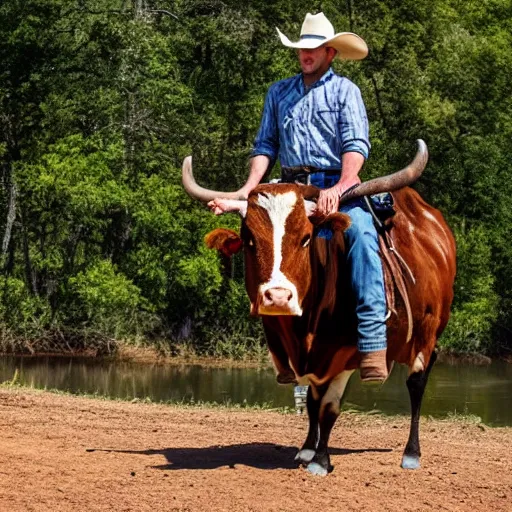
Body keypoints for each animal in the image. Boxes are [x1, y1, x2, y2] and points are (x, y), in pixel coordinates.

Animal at [183, 141, 456, 476]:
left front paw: (321, 460)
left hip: (426, 334)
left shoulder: (346, 352)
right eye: (249, 240)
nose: (277, 297)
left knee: (417, 382)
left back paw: (411, 453)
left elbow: (328, 407)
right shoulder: (309, 358)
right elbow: (312, 401)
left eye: (305, 238)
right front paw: (307, 449)